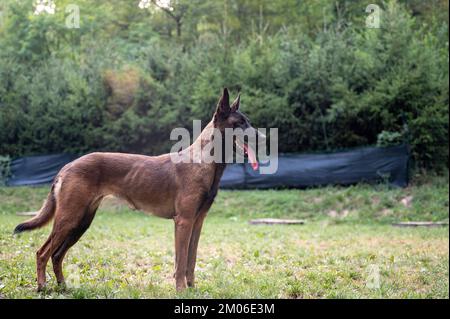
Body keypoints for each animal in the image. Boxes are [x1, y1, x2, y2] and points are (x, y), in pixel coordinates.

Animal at [14, 88, 260, 292]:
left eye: (248, 122)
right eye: (239, 123)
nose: (263, 137)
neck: (202, 161)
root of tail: (67, 166)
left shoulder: (197, 222)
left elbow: (191, 260)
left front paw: (191, 288)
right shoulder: (183, 222)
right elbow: (181, 262)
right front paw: (181, 290)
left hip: (81, 222)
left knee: (57, 255)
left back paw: (63, 286)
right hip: (68, 219)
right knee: (43, 252)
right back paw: (42, 286)